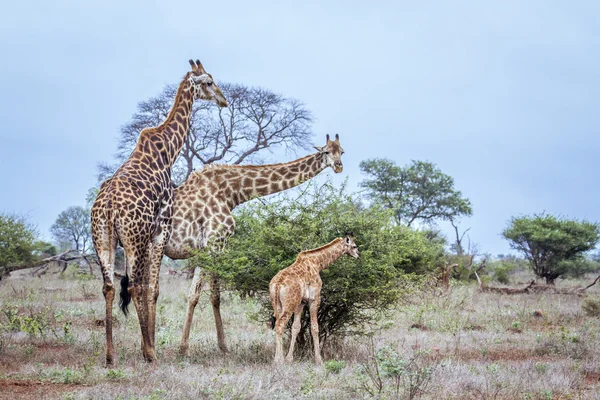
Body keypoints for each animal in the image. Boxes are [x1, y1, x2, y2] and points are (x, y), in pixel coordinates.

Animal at [91, 59, 227, 366]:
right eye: (210, 82)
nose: (224, 100)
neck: (168, 151)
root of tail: (109, 207)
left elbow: (148, 288)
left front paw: (146, 343)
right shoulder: (160, 229)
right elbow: (151, 288)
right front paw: (149, 346)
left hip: (103, 239)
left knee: (108, 287)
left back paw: (110, 355)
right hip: (133, 238)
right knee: (133, 286)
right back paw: (150, 353)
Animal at [159, 134, 344, 356]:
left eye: (342, 151)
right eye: (326, 151)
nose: (338, 166)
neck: (232, 192)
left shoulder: (210, 248)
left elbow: (210, 296)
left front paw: (220, 346)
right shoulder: (212, 244)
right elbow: (198, 295)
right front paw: (186, 348)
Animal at [268, 236, 360, 364]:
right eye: (354, 246)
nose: (358, 255)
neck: (317, 263)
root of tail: (277, 284)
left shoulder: (301, 302)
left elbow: (296, 327)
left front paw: (289, 358)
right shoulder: (315, 298)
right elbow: (315, 328)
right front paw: (319, 359)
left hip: (277, 304)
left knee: (277, 324)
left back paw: (278, 358)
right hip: (289, 305)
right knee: (280, 325)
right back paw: (279, 360)